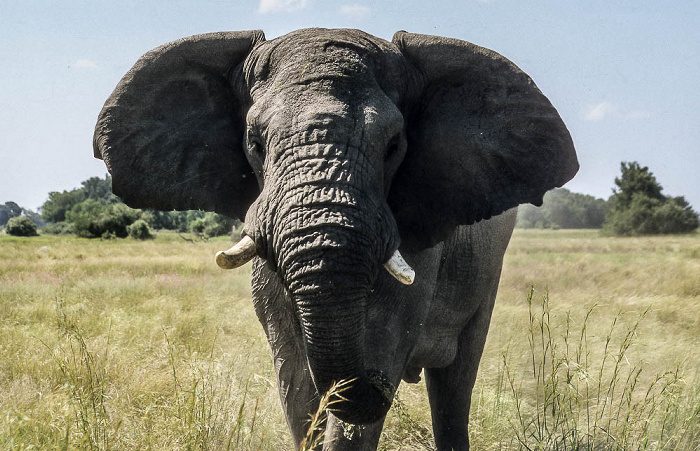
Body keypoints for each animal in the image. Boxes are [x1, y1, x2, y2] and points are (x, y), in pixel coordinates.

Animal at [91, 29, 576, 451]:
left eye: (394, 145)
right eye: (254, 142)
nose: (378, 387)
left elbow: (377, 349)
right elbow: (295, 383)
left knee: (455, 385)